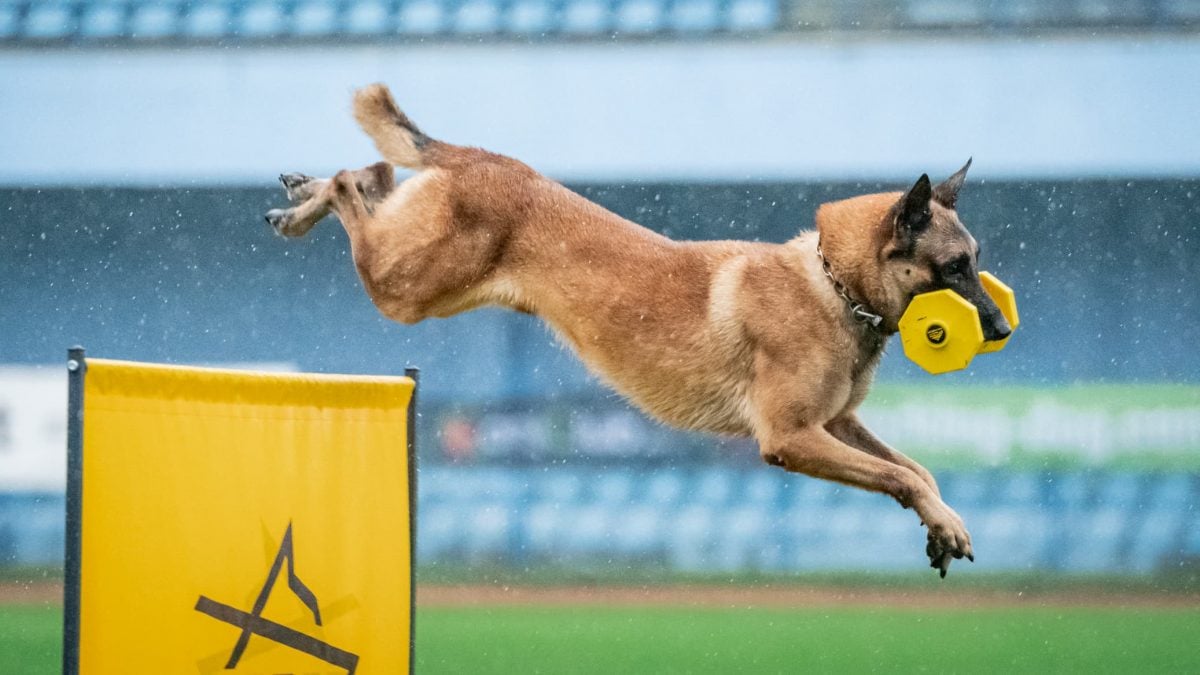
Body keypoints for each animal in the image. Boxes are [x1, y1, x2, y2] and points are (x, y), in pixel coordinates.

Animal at [265, 84, 1012, 576]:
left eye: (977, 262)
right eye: (954, 268)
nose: (1004, 329)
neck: (835, 284)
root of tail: (484, 158)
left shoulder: (836, 423)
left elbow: (913, 467)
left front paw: (941, 523)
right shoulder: (792, 437)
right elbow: (901, 475)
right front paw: (944, 520)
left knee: (374, 173)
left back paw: (301, 190)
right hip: (405, 288)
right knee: (356, 183)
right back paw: (302, 206)